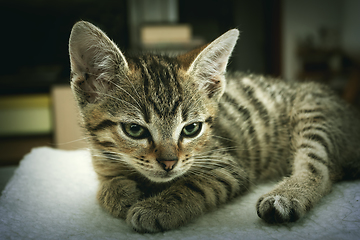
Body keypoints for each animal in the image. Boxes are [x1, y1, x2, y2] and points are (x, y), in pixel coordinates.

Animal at [68, 21, 360, 232]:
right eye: (134, 130)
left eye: (191, 129)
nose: (169, 163)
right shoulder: (102, 161)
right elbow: (107, 182)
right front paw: (120, 193)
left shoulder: (229, 167)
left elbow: (193, 184)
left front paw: (158, 207)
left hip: (313, 114)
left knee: (320, 169)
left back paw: (286, 196)